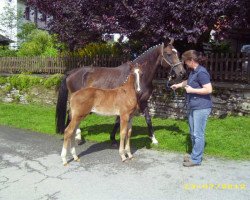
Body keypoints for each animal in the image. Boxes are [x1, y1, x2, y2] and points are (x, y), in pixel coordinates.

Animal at [56, 41, 186, 145]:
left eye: (177, 52)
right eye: (168, 54)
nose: (182, 73)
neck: (138, 77)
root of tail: (72, 72)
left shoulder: (143, 101)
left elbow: (148, 119)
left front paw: (153, 139)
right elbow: (119, 120)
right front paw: (114, 139)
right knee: (72, 115)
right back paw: (77, 137)